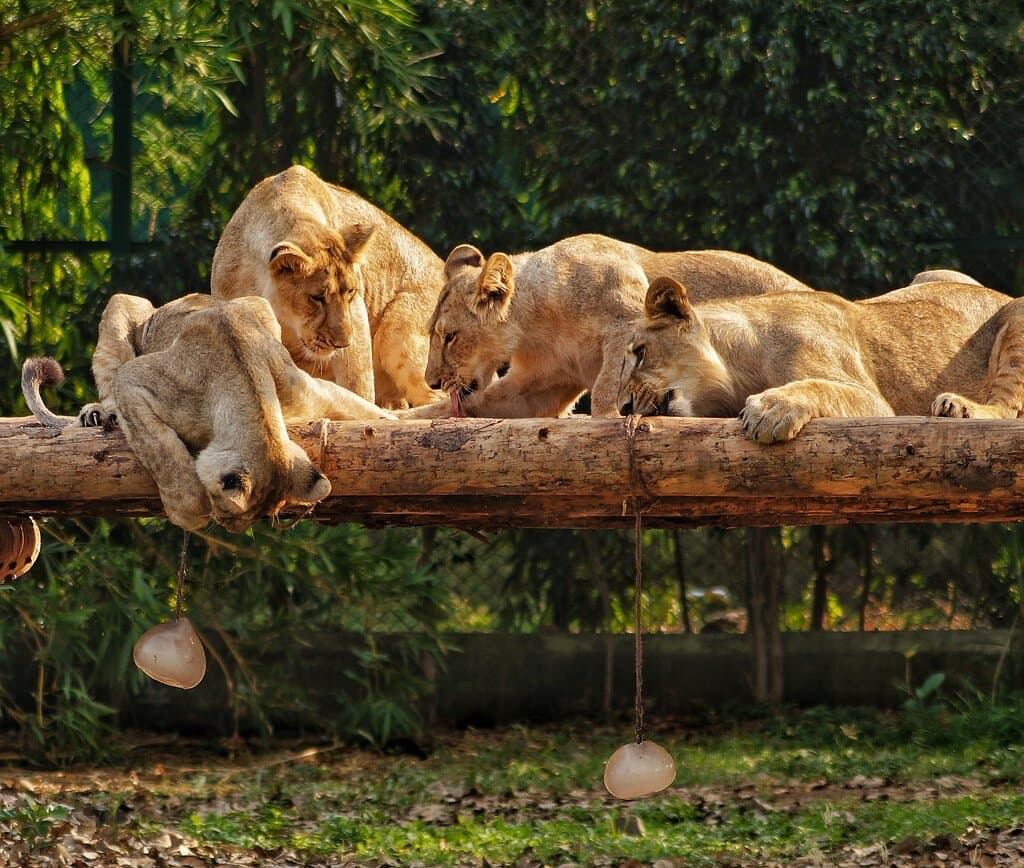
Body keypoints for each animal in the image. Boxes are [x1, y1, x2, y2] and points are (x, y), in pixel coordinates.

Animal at [23, 293, 393, 532]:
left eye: (264, 516)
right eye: (229, 511)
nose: (231, 529)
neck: (255, 402)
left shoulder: (304, 389)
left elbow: (356, 405)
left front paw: (393, 418)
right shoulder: (135, 382)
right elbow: (164, 454)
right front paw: (190, 512)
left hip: (258, 303)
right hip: (123, 306)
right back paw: (100, 413)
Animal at [211, 165, 445, 409]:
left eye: (350, 292)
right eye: (317, 297)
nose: (342, 343)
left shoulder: (357, 315)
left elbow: (356, 382)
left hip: (398, 335)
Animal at [412, 234, 813, 419]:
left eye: (450, 337)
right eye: (434, 334)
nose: (431, 381)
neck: (536, 324)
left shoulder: (629, 319)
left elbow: (609, 384)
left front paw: (607, 417)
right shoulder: (541, 385)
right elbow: (471, 403)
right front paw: (404, 415)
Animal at [617, 273, 1024, 443]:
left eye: (640, 353)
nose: (622, 408)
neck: (739, 370)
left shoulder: (874, 401)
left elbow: (819, 387)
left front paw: (771, 409)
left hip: (1018, 313)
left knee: (1008, 408)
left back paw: (957, 406)